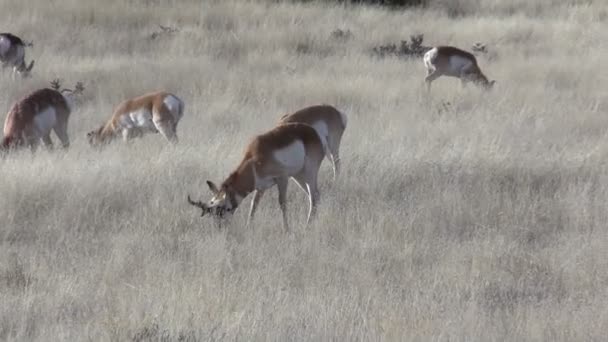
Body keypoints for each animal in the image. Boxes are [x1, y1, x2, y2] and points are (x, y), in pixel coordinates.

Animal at [186, 121, 326, 231]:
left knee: (314, 196)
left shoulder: (282, 178)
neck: (254, 157)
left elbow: (282, 203)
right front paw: (248, 227)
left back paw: (307, 226)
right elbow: (254, 205)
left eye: (224, 208)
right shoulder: (261, 187)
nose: (220, 228)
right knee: (314, 196)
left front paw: (286, 229)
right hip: (298, 176)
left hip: (308, 173)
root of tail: (313, 133)